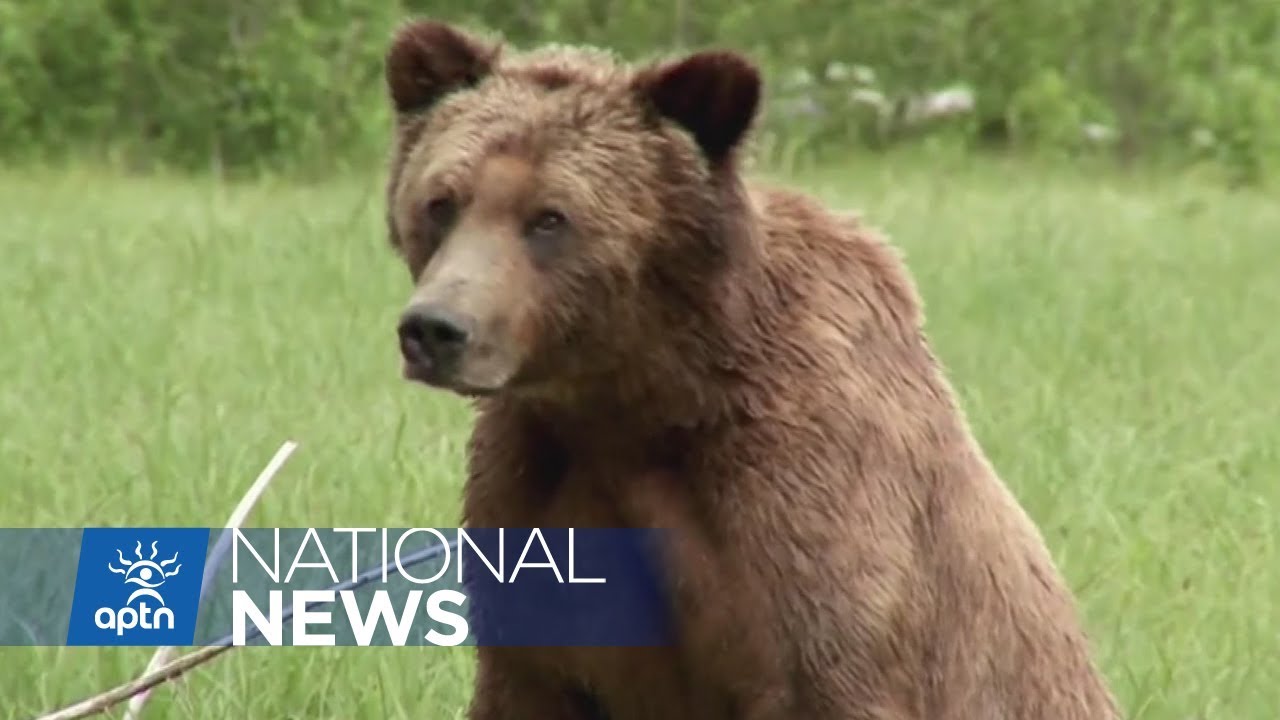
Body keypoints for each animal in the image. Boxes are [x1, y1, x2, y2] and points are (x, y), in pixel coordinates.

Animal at [382, 18, 1120, 720]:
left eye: (550, 218)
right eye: (442, 201)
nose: (435, 329)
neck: (637, 401)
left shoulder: (800, 498)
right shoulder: (536, 493)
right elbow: (527, 676)